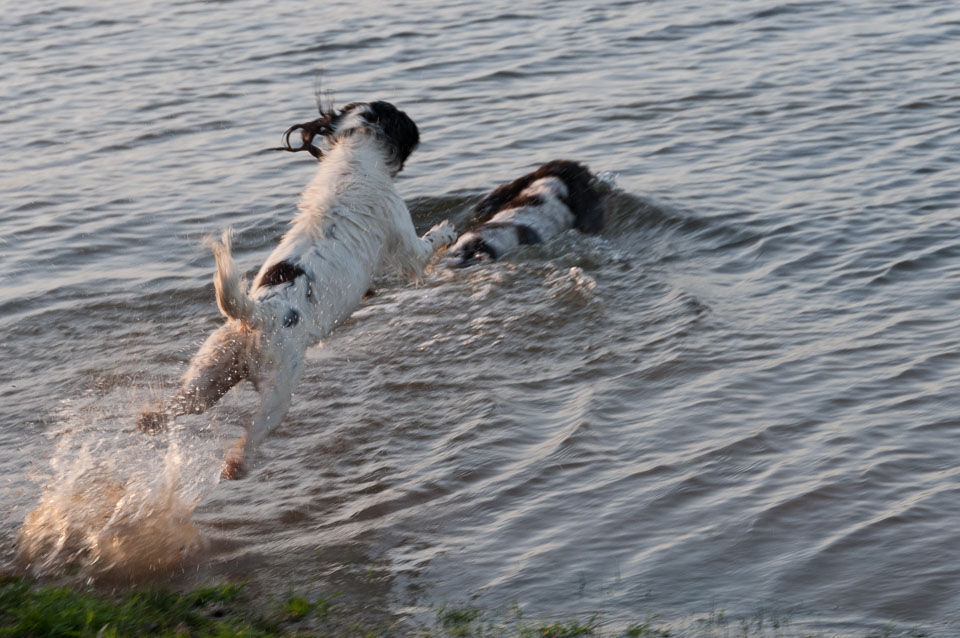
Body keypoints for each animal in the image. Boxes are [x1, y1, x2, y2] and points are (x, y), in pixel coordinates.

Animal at [136, 100, 462, 480]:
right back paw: (235, 466)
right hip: (278, 390)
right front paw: (448, 231)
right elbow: (428, 245)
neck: (356, 153)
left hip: (211, 372)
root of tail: (257, 314)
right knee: (249, 438)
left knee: (177, 406)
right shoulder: (404, 237)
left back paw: (149, 421)